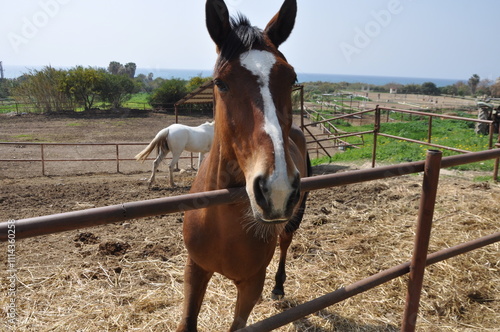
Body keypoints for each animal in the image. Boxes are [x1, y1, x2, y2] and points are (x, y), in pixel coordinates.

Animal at [176, 1, 308, 330]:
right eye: (220, 82)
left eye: (291, 78)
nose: (277, 189)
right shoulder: (195, 269)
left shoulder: (250, 283)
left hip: (294, 218)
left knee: (285, 242)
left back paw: (278, 287)